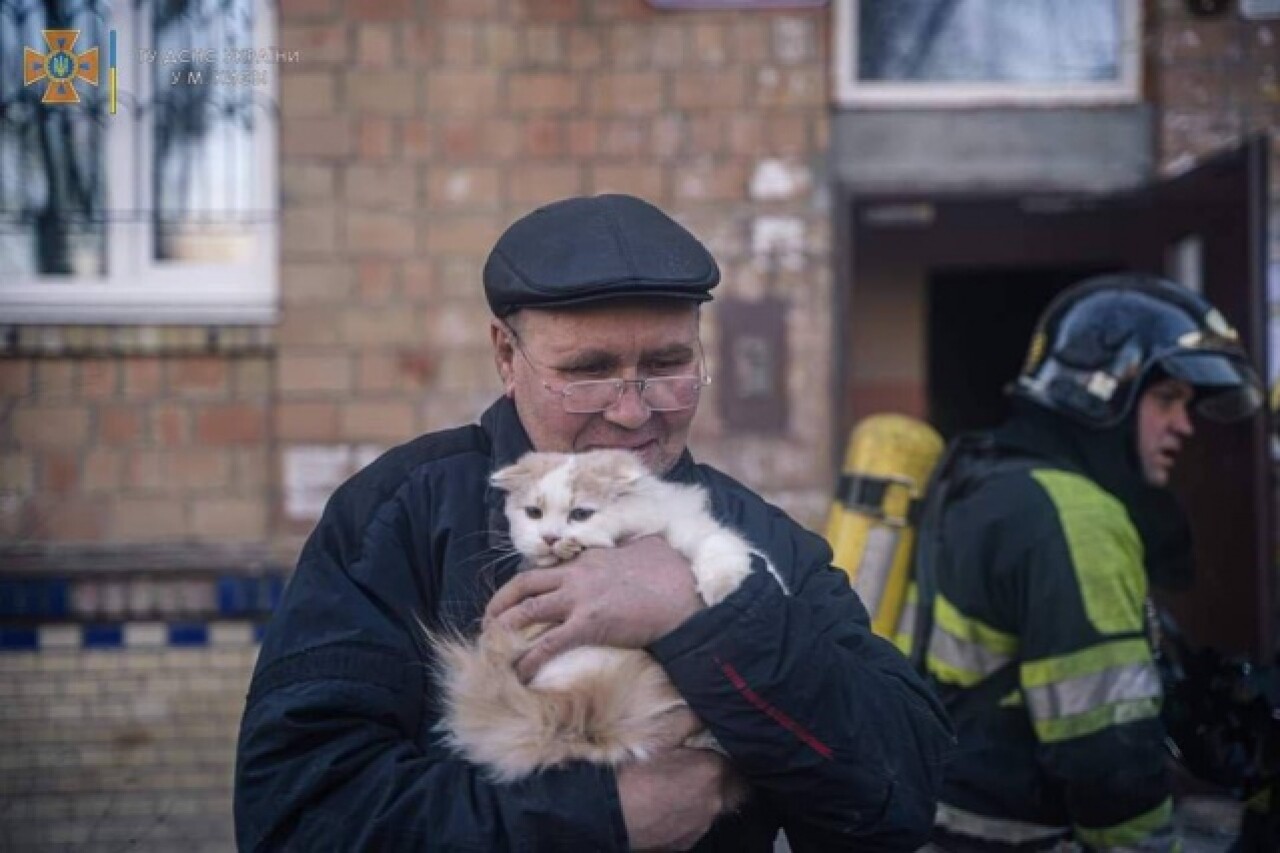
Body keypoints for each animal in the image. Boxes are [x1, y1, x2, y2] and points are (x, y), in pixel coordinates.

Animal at [430, 445, 773, 783]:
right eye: (534, 513)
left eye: (580, 514)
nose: (550, 538)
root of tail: (579, 709)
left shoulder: (685, 527)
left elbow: (719, 545)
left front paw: (724, 589)